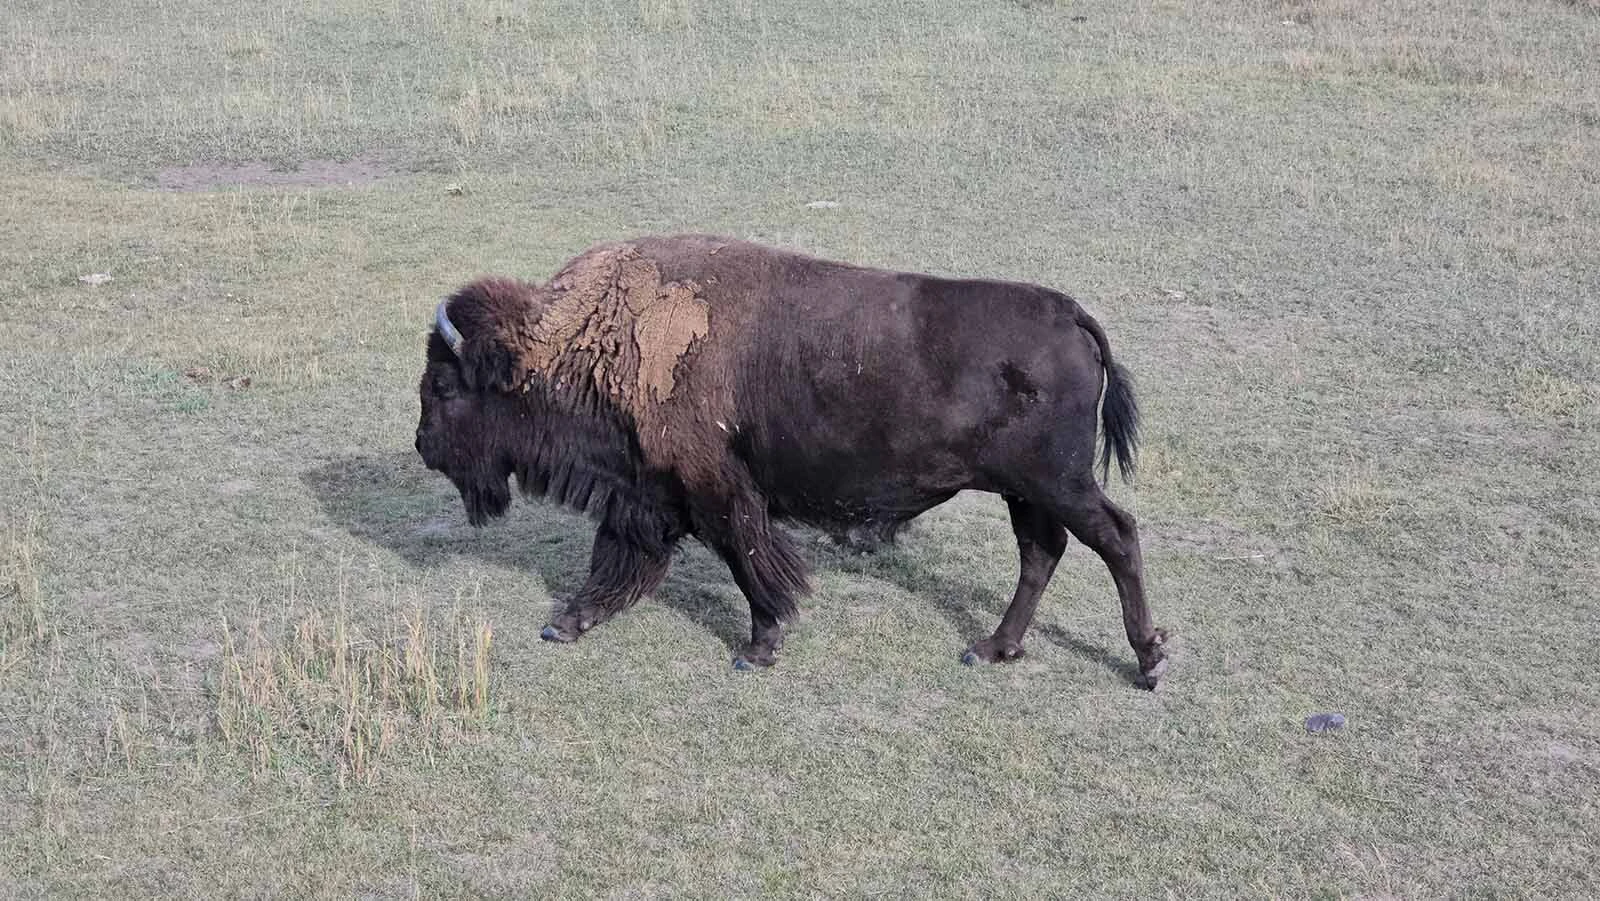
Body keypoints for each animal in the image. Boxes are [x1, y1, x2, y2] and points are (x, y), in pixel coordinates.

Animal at [415, 235, 1168, 688]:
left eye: (446, 385)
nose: (423, 446)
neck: (591, 339)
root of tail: (1071, 316)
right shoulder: (647, 490)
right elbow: (619, 554)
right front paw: (566, 622)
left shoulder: (715, 488)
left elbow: (748, 558)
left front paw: (759, 647)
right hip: (1026, 489)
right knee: (1043, 551)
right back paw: (991, 647)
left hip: (1056, 480)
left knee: (1115, 535)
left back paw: (1149, 660)